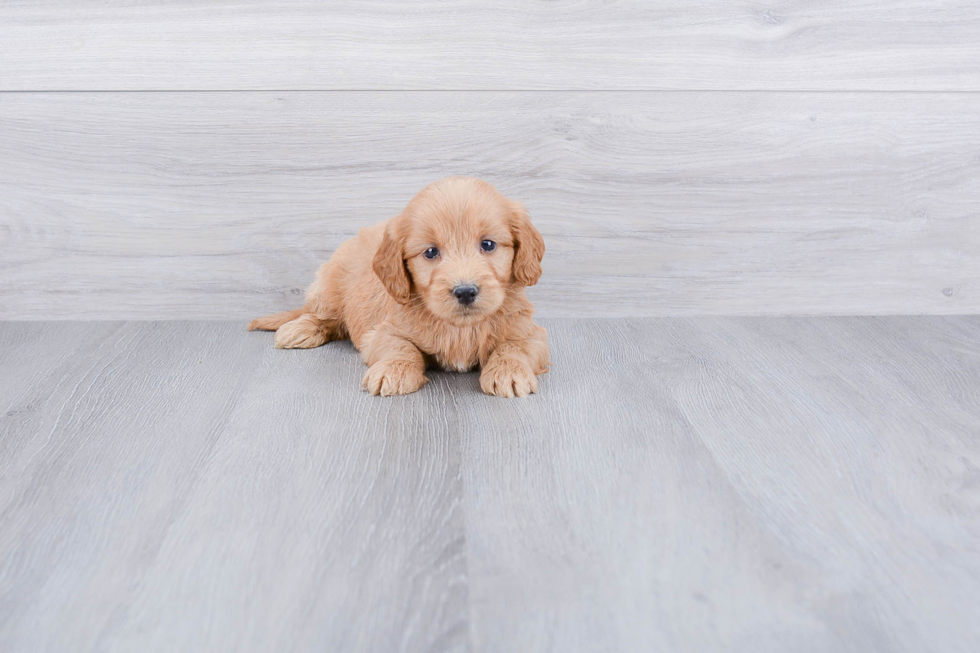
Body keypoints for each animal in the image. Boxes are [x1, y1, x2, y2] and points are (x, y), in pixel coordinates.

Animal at [249, 176, 548, 394]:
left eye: (488, 244)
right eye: (430, 252)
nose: (465, 292)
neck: (459, 328)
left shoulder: (532, 333)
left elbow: (514, 347)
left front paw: (508, 371)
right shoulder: (383, 331)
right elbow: (400, 347)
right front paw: (394, 370)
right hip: (328, 287)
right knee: (323, 315)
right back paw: (300, 329)